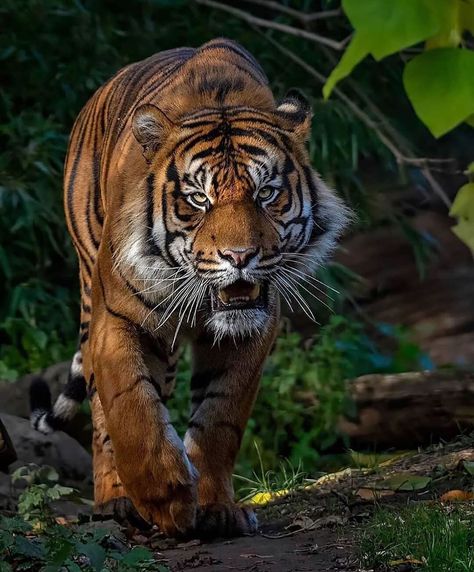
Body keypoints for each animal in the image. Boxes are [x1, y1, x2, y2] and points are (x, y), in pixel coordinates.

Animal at [29, 38, 348, 540]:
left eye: (265, 193)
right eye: (199, 198)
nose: (240, 256)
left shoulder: (253, 331)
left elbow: (219, 418)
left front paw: (217, 508)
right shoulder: (117, 319)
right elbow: (130, 408)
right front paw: (166, 498)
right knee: (102, 414)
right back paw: (116, 502)